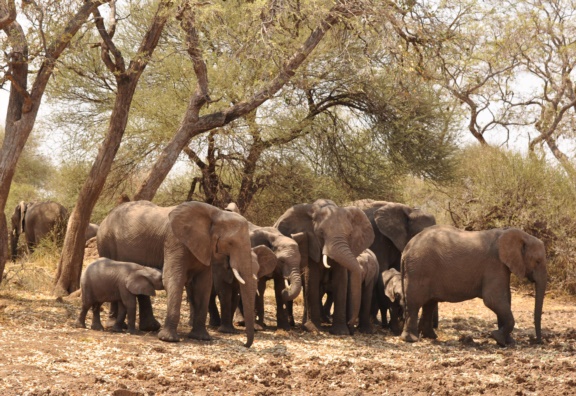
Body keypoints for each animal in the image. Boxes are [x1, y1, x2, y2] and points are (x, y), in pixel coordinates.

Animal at [98, 201, 258, 346]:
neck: (216, 213)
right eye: (230, 243)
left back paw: (149, 327)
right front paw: (168, 339)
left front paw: (201, 337)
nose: (245, 344)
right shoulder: (175, 241)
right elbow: (172, 279)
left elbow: (203, 286)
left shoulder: (204, 248)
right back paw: (115, 325)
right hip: (106, 242)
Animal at [274, 198, 374, 334]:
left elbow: (341, 281)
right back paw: (301, 325)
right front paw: (314, 329)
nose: (350, 324)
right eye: (321, 233)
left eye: (349, 234)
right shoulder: (311, 244)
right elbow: (312, 279)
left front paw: (341, 332)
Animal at [398, 226, 548, 346]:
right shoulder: (494, 264)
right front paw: (498, 338)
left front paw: (508, 342)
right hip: (418, 269)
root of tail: (407, 248)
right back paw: (411, 339)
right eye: (537, 261)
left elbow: (505, 299)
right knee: (415, 303)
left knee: (429, 303)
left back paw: (430, 336)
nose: (537, 341)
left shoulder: (502, 266)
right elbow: (493, 299)